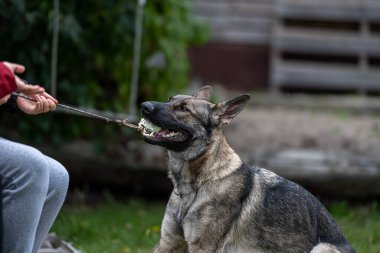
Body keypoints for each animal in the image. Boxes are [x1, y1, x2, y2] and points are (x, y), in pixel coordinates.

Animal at [140, 86, 356, 253]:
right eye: (170, 99)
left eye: (183, 108)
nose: (144, 106)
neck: (197, 183)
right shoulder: (168, 242)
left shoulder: (202, 246)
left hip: (321, 247)